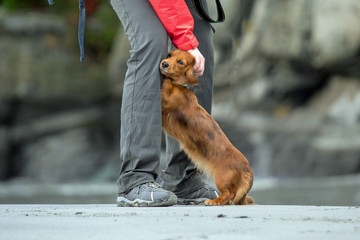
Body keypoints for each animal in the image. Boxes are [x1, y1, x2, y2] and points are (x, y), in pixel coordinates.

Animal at [159, 49, 255, 205]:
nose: (164, 64)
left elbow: (166, 85)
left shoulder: (167, 99)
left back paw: (214, 201)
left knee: (228, 194)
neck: (179, 87)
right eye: (169, 55)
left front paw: (166, 78)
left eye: (180, 62)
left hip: (221, 178)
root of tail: (247, 170)